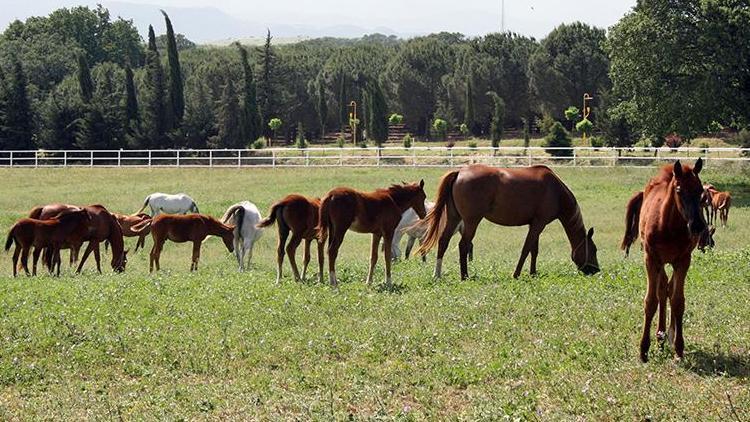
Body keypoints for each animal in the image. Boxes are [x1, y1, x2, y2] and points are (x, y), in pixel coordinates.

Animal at [418, 165, 600, 280]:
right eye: (594, 250)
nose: (596, 270)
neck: (556, 191)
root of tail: (459, 172)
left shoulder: (535, 224)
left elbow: (534, 250)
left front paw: (533, 273)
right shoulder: (539, 224)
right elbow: (526, 249)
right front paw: (517, 274)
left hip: (454, 218)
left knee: (443, 241)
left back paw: (437, 274)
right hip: (471, 221)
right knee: (463, 245)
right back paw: (464, 276)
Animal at [632, 159, 708, 362]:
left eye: (701, 191)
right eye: (679, 190)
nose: (697, 225)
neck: (668, 225)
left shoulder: (683, 260)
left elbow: (678, 300)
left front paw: (679, 348)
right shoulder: (651, 259)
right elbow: (650, 301)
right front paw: (643, 350)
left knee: (669, 288)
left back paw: (667, 334)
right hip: (659, 263)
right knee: (662, 289)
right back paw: (659, 336)